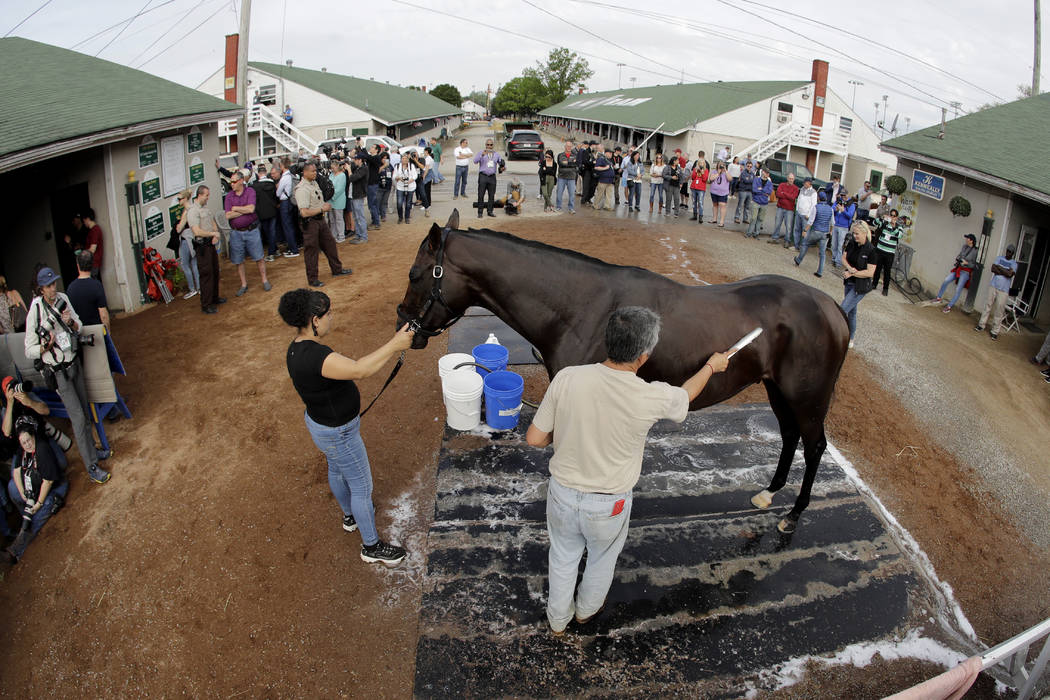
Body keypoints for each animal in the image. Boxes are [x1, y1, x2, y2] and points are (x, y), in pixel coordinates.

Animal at [396, 210, 848, 533]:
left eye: (415, 274)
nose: (404, 324)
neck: (582, 307)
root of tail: (833, 309)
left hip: (807, 396)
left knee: (813, 446)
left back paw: (794, 513)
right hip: (778, 390)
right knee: (789, 437)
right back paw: (769, 493)